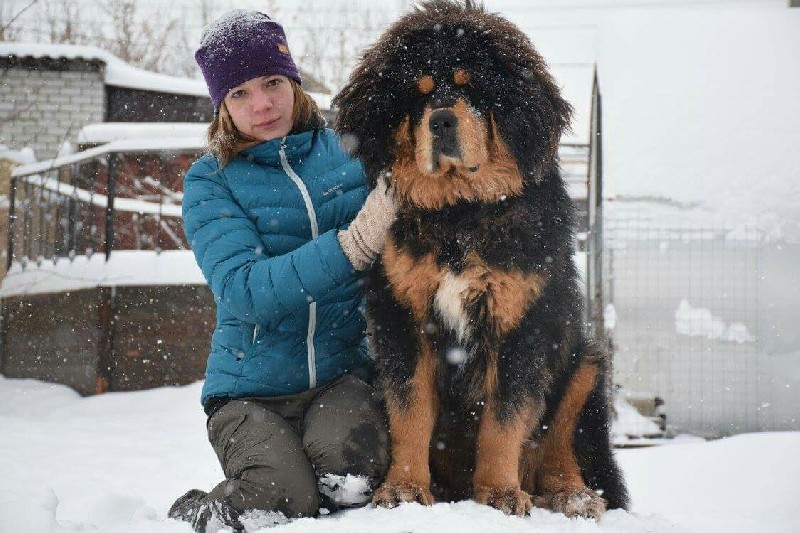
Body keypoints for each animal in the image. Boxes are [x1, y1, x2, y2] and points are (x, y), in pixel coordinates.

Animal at [334, 0, 628, 516]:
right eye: (418, 95)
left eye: (472, 87)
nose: (441, 120)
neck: (461, 212)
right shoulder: (403, 317)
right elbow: (409, 412)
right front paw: (404, 489)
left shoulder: (520, 323)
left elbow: (504, 421)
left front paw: (499, 493)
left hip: (585, 367)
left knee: (562, 453)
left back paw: (572, 497)